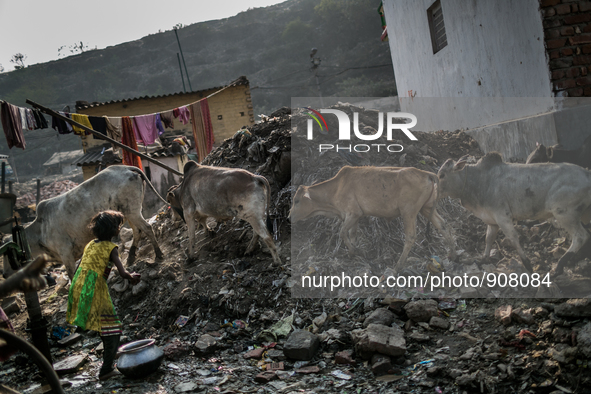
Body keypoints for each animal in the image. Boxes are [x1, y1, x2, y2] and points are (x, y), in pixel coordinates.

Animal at [290, 165, 458, 270]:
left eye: (296, 200)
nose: (289, 216)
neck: (336, 188)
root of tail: (426, 174)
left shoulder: (352, 214)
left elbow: (342, 232)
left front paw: (355, 251)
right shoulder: (355, 217)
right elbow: (352, 234)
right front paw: (353, 252)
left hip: (409, 212)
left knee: (410, 236)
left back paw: (398, 266)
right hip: (427, 208)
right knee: (443, 226)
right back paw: (452, 254)